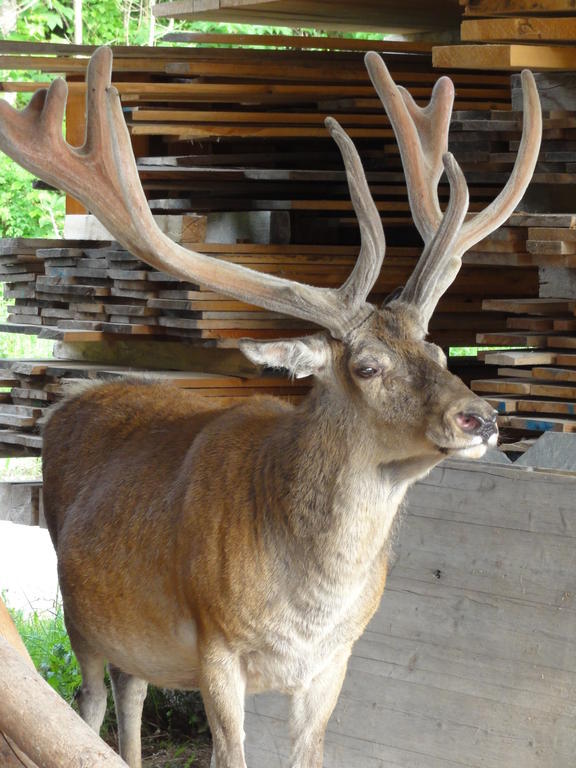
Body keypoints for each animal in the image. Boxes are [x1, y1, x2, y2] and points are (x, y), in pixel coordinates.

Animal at [0, 49, 540, 768]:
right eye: (367, 366)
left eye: (438, 348)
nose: (480, 417)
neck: (309, 610)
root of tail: (70, 402)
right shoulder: (216, 645)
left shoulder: (334, 662)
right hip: (78, 613)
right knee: (87, 706)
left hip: (131, 634)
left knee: (131, 690)